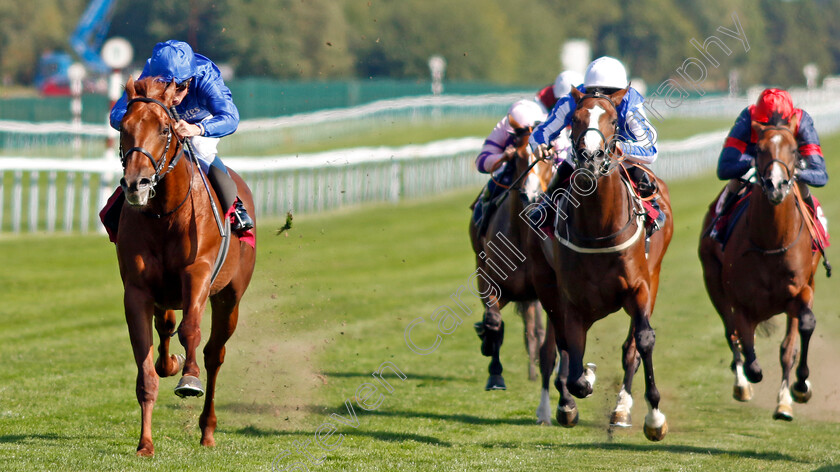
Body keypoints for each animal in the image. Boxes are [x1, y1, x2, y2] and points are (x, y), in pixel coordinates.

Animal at [115, 76, 256, 454]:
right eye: (124, 127)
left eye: (165, 129)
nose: (135, 184)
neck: (165, 213)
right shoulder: (137, 291)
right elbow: (146, 369)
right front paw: (145, 444)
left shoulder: (198, 274)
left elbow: (191, 329)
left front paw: (189, 378)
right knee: (165, 327)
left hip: (230, 297)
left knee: (214, 353)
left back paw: (207, 429)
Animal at [466, 130, 556, 390]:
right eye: (516, 157)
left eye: (548, 156)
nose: (530, 194)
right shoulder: (490, 281)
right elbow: (493, 321)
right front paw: (494, 371)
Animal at [540, 86, 676, 440]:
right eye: (575, 118)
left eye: (614, 120)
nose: (591, 156)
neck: (599, 231)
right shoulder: (572, 301)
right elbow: (573, 359)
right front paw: (584, 381)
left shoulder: (639, 288)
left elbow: (642, 342)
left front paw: (654, 418)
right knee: (560, 345)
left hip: (654, 278)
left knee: (631, 347)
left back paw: (622, 408)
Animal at [700, 118, 824, 420]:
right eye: (759, 149)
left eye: (794, 150)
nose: (776, 184)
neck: (771, 242)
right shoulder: (742, 303)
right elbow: (748, 352)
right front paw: (749, 374)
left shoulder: (802, 290)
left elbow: (797, 336)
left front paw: (796, 390)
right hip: (713, 281)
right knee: (732, 333)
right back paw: (741, 384)